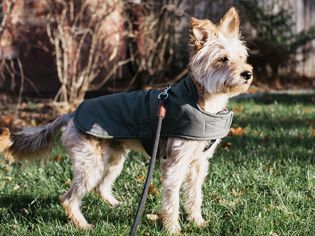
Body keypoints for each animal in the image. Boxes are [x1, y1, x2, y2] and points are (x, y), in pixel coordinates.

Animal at [0, 7, 253, 234]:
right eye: (222, 59)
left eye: (242, 58)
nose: (248, 73)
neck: (202, 101)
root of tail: (71, 115)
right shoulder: (175, 164)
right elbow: (172, 199)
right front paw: (172, 229)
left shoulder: (199, 163)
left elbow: (195, 195)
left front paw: (198, 222)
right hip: (91, 164)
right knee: (68, 198)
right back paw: (83, 225)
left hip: (114, 160)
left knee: (100, 187)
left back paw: (114, 205)